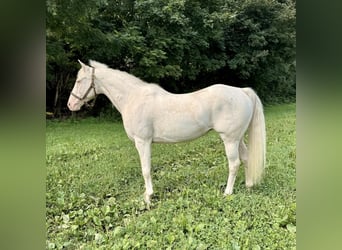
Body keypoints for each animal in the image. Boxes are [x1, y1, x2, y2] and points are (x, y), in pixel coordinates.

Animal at [68, 59, 266, 206]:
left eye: (79, 80)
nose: (71, 104)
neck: (133, 98)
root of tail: (242, 92)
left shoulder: (143, 141)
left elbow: (146, 169)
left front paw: (148, 196)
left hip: (230, 139)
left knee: (234, 163)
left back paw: (227, 192)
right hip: (237, 138)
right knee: (246, 158)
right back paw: (248, 185)